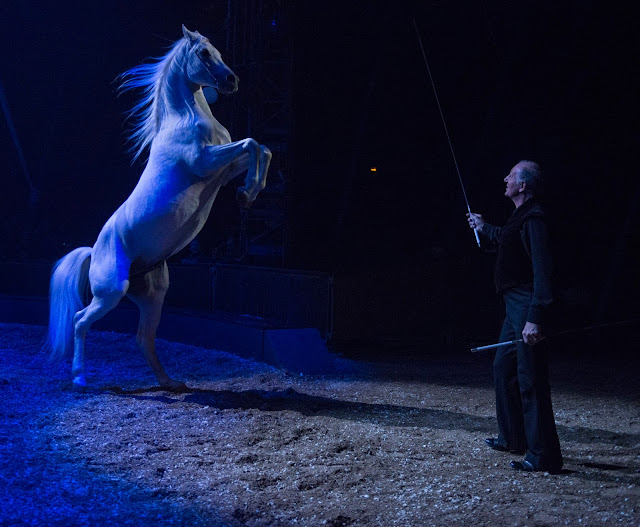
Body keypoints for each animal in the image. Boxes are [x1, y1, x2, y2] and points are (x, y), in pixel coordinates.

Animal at [46, 24, 272, 390]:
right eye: (203, 53)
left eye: (217, 51)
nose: (232, 80)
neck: (184, 119)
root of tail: (93, 251)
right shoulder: (205, 162)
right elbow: (252, 143)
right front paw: (247, 194)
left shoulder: (223, 171)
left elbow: (262, 149)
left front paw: (247, 193)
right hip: (111, 291)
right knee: (80, 321)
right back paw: (80, 378)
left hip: (153, 296)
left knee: (143, 338)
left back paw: (169, 383)